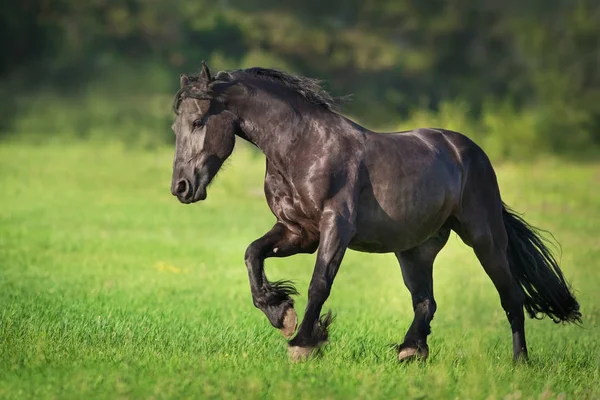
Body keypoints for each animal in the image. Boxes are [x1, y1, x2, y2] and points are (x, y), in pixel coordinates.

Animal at [170, 61, 580, 362]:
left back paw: (519, 361)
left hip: (485, 238)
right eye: (176, 126)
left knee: (511, 297)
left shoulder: (335, 227)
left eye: (198, 121)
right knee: (426, 302)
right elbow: (252, 254)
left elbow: (320, 283)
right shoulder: (297, 231)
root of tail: (468, 151)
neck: (304, 147)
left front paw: (302, 343)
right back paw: (411, 351)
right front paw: (280, 313)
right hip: (415, 251)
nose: (181, 187)